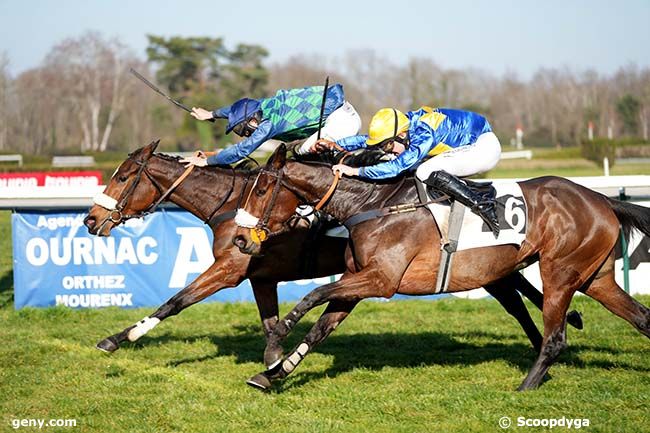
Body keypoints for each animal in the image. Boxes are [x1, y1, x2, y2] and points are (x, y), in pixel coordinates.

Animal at [85, 141, 576, 368]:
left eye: (123, 176)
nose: (90, 220)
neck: (233, 204)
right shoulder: (260, 275)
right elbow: (270, 322)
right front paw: (275, 358)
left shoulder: (231, 268)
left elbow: (177, 300)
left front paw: (119, 337)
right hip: (487, 267)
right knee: (519, 293)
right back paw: (556, 334)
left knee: (518, 298)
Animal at [233, 143, 648, 390]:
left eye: (261, 190)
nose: (239, 240)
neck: (373, 204)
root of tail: (601, 199)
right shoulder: (357, 282)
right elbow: (320, 329)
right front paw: (273, 373)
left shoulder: (380, 279)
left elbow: (314, 294)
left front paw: (275, 344)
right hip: (595, 278)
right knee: (641, 317)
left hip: (560, 273)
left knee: (555, 336)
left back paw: (527, 385)